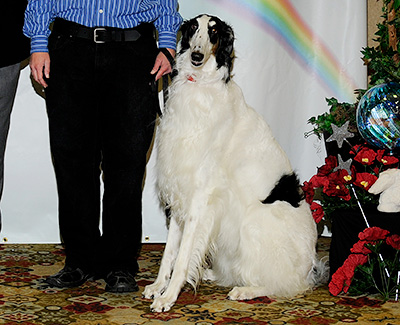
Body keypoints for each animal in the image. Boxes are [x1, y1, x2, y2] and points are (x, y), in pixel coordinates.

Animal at [144, 14, 324, 312]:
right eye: (193, 28)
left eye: (215, 33)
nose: (196, 55)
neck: (199, 85)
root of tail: (310, 266)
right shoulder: (180, 193)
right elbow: (170, 252)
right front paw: (158, 286)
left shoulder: (200, 198)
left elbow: (181, 257)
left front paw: (168, 297)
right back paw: (210, 274)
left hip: (253, 222)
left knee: (286, 284)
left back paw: (245, 290)